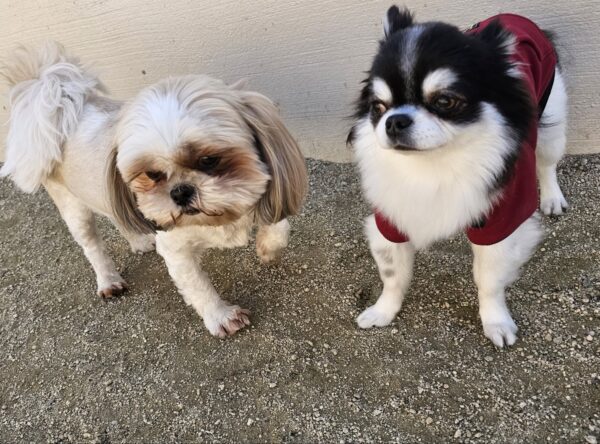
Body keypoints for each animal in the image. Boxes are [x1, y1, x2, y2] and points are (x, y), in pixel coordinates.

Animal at [1, 42, 307, 338]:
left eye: (209, 159)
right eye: (152, 174)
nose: (180, 192)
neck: (219, 220)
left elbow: (280, 227)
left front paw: (267, 248)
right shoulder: (176, 250)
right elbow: (197, 285)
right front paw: (221, 317)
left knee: (117, 218)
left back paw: (139, 240)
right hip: (73, 207)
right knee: (92, 245)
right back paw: (108, 280)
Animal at [348, 6, 568, 346]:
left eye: (445, 101)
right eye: (378, 106)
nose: (394, 121)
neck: (434, 165)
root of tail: (515, 16)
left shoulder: (501, 224)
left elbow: (489, 280)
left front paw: (495, 322)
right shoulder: (391, 220)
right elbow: (393, 275)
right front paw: (383, 311)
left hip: (550, 119)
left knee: (546, 163)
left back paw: (552, 198)